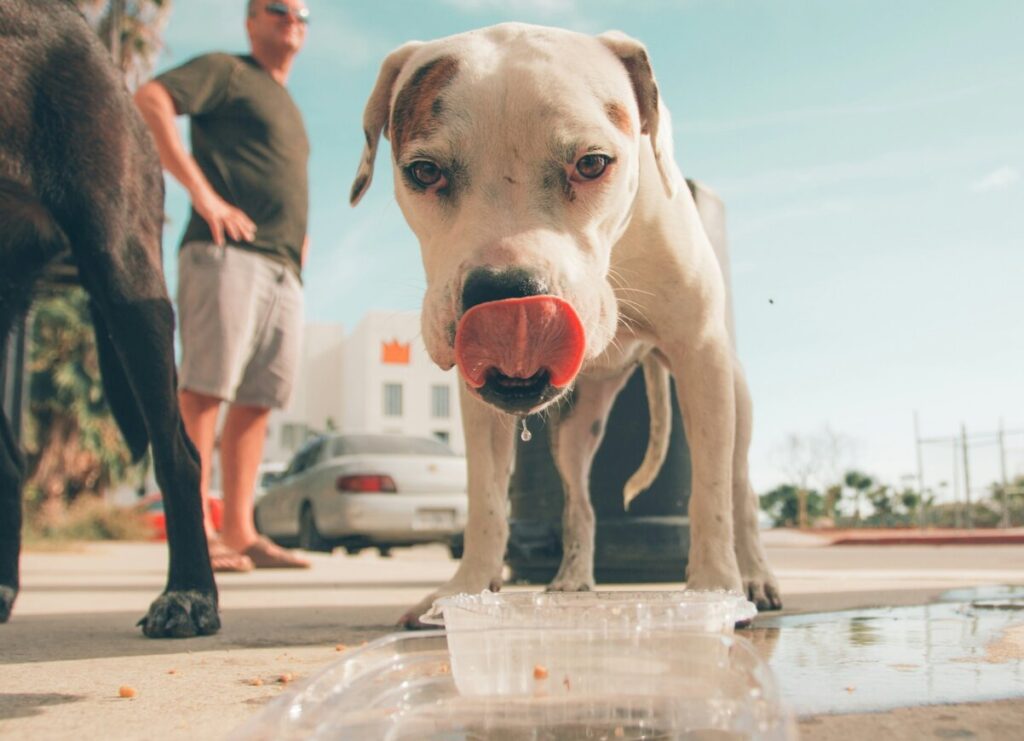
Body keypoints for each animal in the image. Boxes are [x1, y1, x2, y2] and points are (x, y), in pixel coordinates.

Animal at [348, 24, 778, 626]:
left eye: (593, 163)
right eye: (424, 171)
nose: (506, 295)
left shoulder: (700, 355)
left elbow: (710, 493)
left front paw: (715, 588)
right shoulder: (479, 406)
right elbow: (485, 500)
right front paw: (466, 588)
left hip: (732, 396)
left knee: (740, 489)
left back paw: (756, 576)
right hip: (575, 429)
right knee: (580, 503)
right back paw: (573, 579)